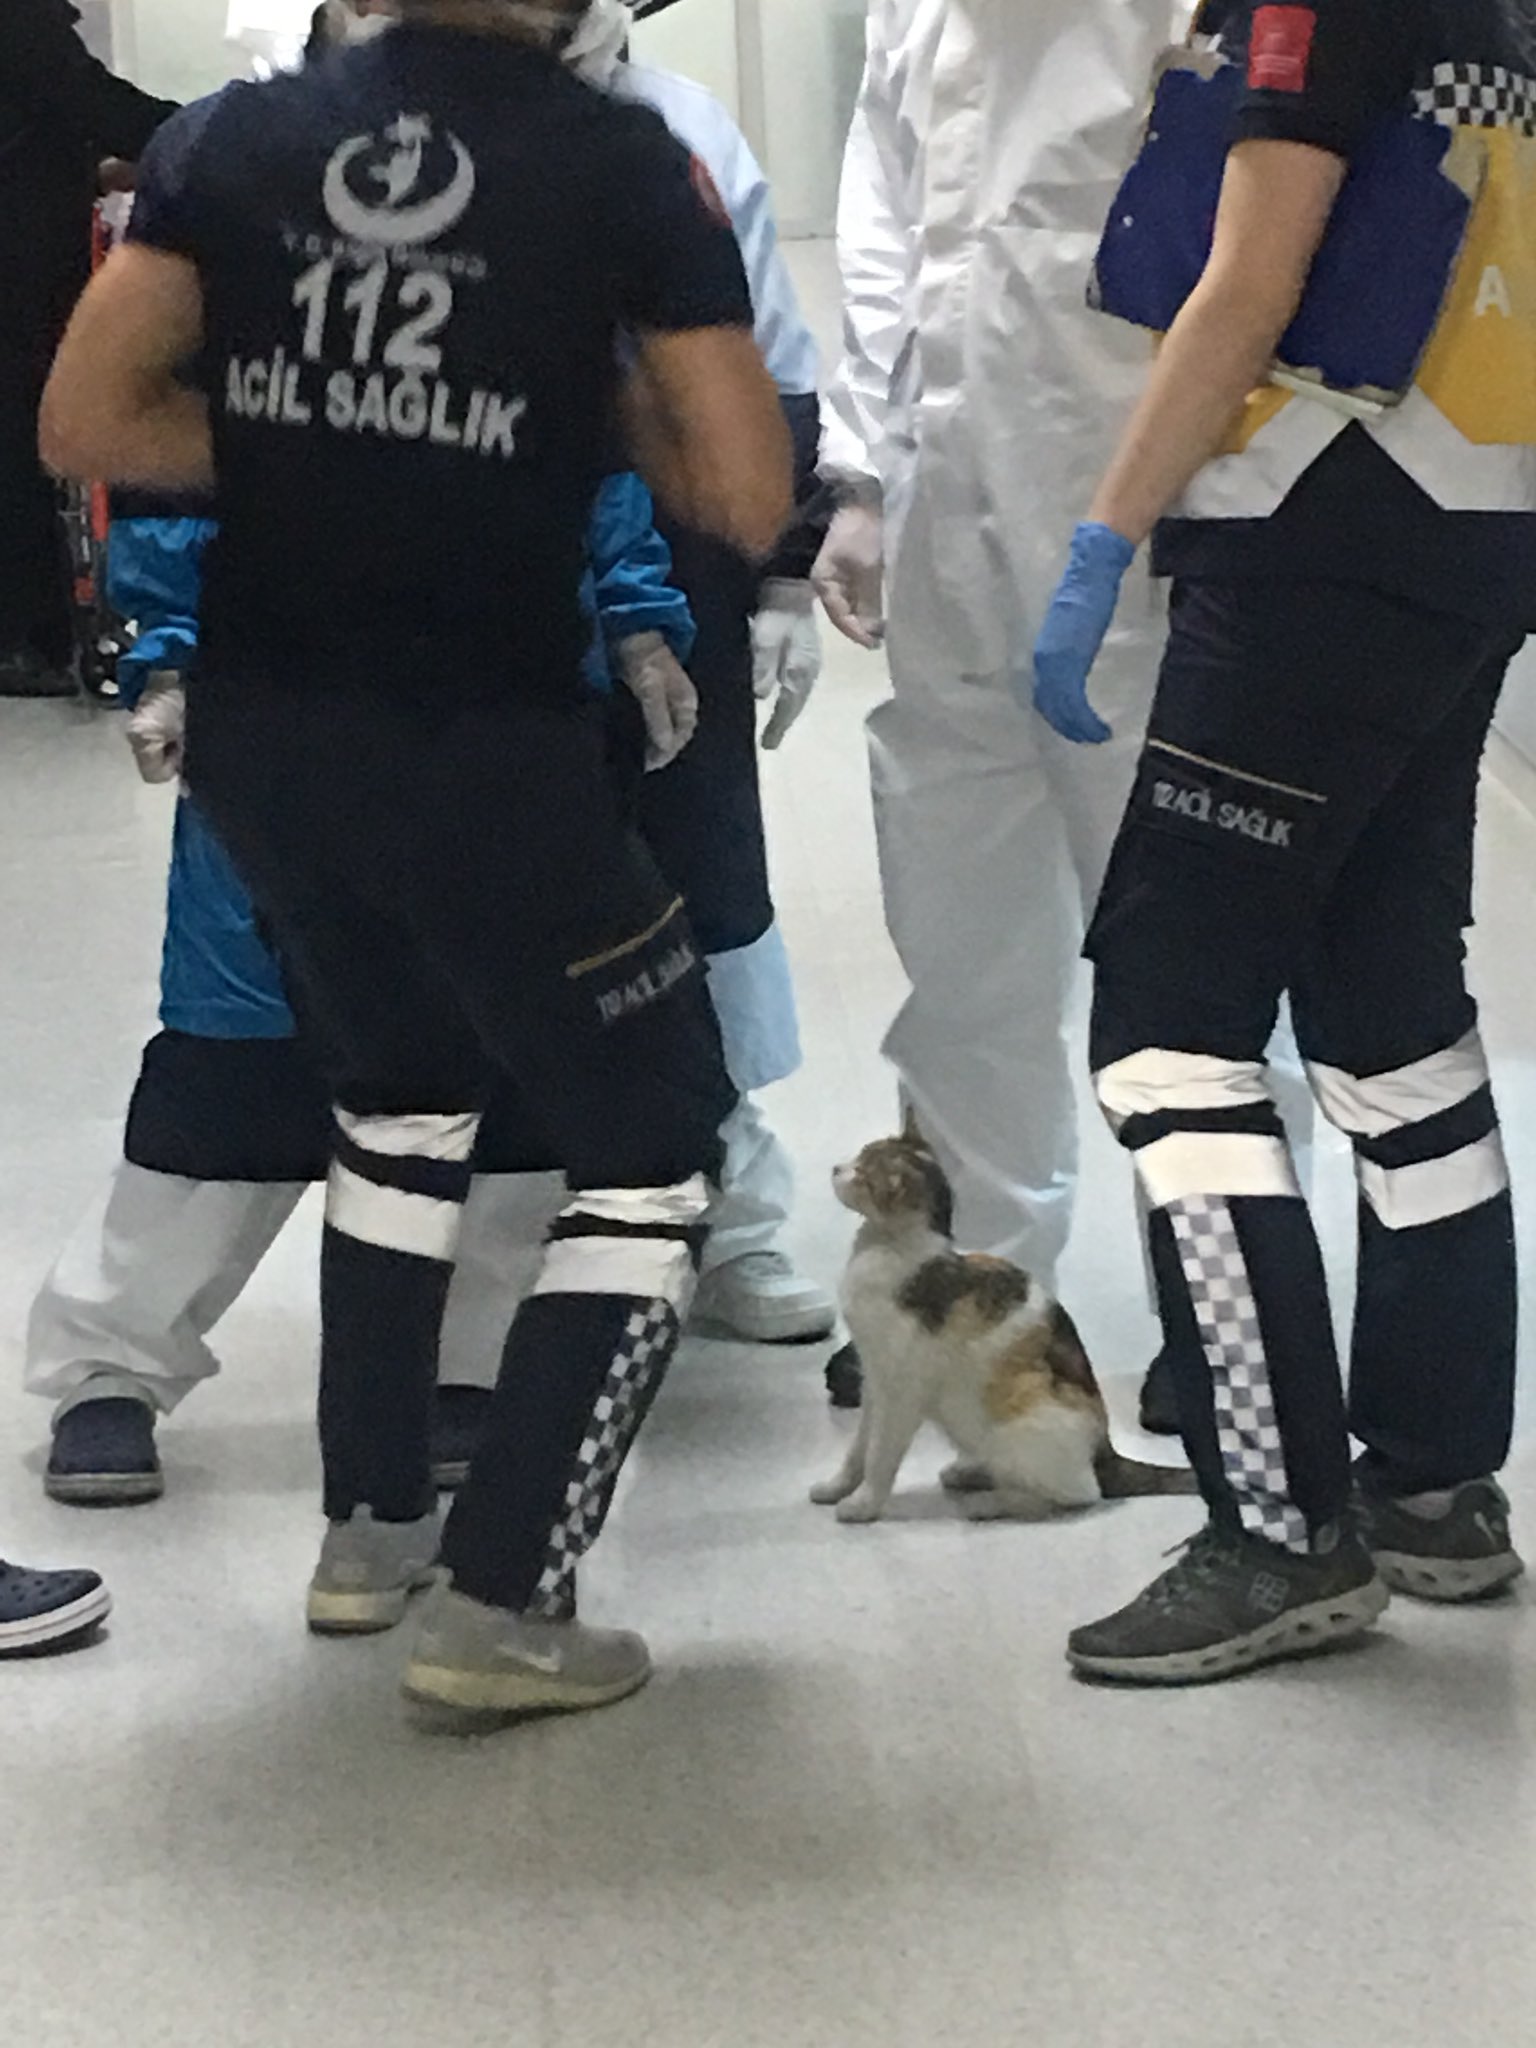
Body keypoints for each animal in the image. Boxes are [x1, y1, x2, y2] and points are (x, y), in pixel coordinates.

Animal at [819, 1122, 1204, 1523]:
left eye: (862, 1173)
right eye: (859, 1156)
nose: (836, 1168)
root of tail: (1106, 1453)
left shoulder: (900, 1391)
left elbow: (880, 1455)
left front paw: (863, 1504)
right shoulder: (873, 1382)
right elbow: (858, 1449)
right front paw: (837, 1487)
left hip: (1020, 1417)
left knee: (1079, 1494)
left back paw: (990, 1502)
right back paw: (970, 1471)